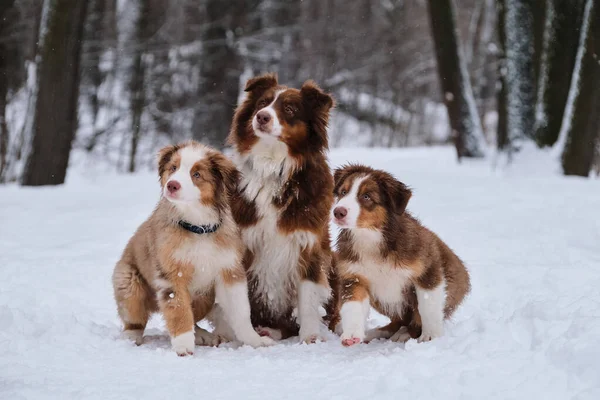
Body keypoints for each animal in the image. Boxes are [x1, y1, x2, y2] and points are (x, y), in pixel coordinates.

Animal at [111, 141, 274, 356]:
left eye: (196, 174)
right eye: (173, 168)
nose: (172, 185)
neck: (198, 227)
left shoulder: (229, 270)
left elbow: (241, 312)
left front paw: (255, 341)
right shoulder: (172, 275)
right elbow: (179, 311)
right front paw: (183, 347)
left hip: (205, 296)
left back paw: (203, 335)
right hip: (128, 283)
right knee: (135, 318)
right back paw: (131, 337)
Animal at [221, 73, 342, 342]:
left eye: (290, 109)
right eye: (262, 103)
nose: (261, 116)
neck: (273, 165)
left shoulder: (308, 244)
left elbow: (308, 298)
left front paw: (310, 337)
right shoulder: (245, 242)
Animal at [332, 164, 468, 346]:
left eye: (366, 196)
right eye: (343, 192)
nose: (338, 212)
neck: (370, 236)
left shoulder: (428, 268)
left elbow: (427, 306)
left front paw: (431, 336)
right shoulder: (354, 276)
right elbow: (352, 305)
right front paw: (351, 335)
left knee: (414, 318)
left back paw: (405, 333)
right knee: (399, 320)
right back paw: (377, 332)